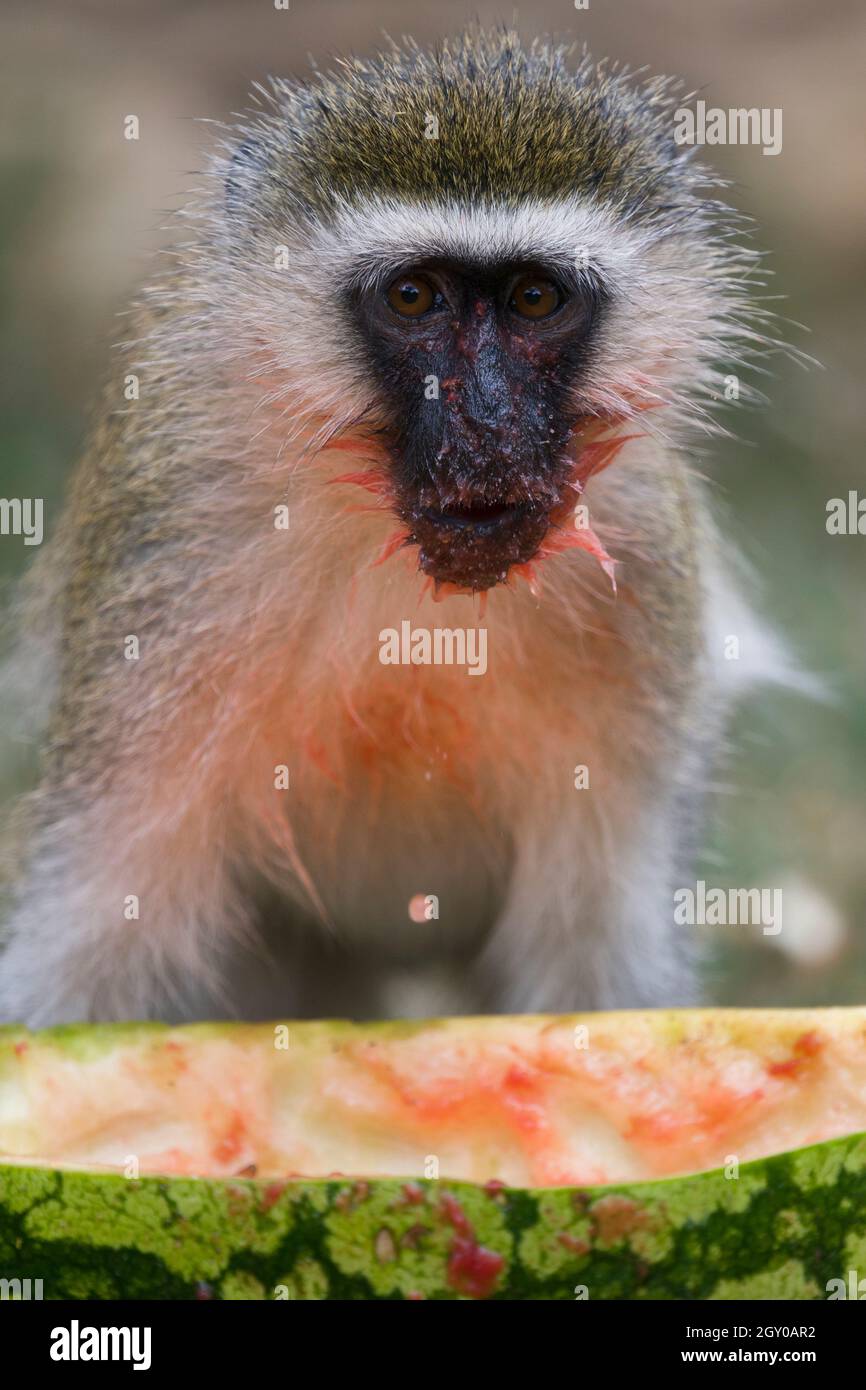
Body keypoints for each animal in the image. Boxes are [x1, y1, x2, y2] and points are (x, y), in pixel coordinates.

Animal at [0, 29, 795, 1023]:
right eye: (414, 298)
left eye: (536, 300)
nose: (486, 420)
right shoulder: (169, 540)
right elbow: (91, 942)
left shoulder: (646, 555)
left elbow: (599, 970)